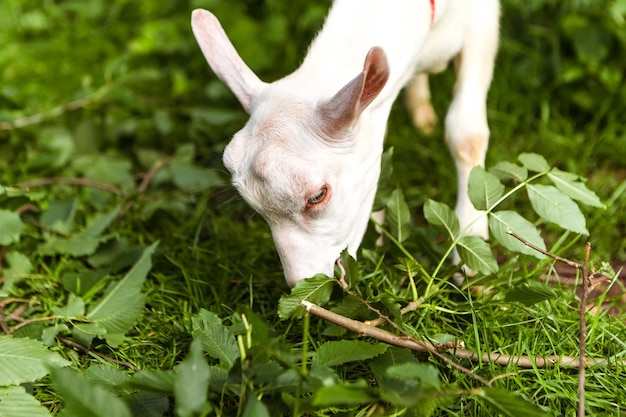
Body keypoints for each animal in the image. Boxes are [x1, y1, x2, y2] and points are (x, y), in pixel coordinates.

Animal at [190, 0, 498, 286]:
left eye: (317, 195)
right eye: (255, 208)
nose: (300, 282)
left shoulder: (483, 19)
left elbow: (465, 134)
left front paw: (472, 260)